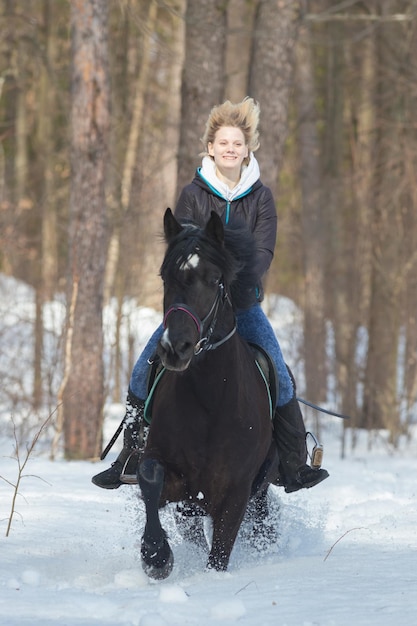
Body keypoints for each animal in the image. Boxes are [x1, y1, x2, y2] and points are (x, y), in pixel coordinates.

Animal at [137, 207, 280, 576]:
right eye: (165, 277)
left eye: (215, 279)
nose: (175, 348)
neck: (211, 400)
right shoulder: (179, 485)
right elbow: (149, 479)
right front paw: (156, 555)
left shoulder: (235, 494)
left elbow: (219, 556)